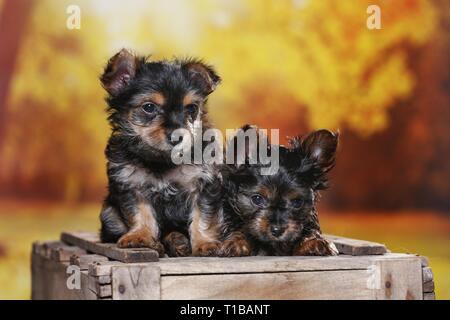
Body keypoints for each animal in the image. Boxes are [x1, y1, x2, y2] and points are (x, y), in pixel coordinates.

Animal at [100, 48, 223, 256]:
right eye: (149, 107)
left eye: (192, 108)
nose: (177, 136)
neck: (161, 159)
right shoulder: (131, 183)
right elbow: (140, 213)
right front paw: (140, 236)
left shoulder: (204, 183)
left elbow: (203, 216)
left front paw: (205, 243)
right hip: (109, 215)